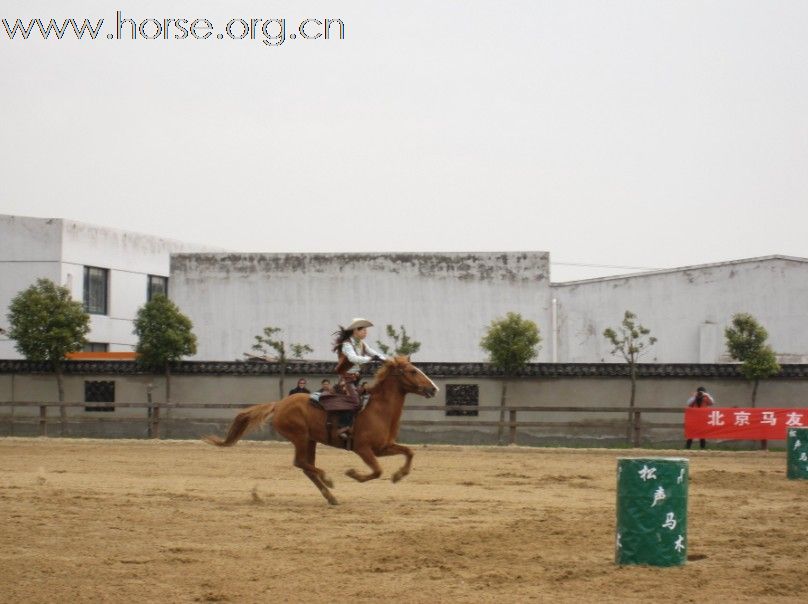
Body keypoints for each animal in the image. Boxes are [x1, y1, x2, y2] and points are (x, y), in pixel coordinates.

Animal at [205, 356, 438, 502]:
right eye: (412, 371)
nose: (433, 389)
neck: (378, 409)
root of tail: (279, 404)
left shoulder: (383, 447)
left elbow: (409, 452)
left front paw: (398, 475)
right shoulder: (363, 449)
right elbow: (377, 471)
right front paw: (353, 473)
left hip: (311, 440)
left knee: (307, 467)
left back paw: (331, 497)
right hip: (300, 437)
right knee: (301, 463)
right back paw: (328, 480)